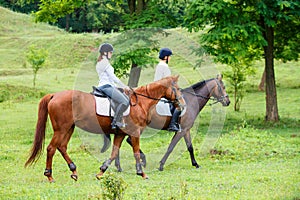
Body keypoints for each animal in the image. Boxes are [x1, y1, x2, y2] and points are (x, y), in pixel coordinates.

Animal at [25, 74, 185, 181]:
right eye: (177, 89)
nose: (182, 105)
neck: (140, 102)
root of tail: (54, 95)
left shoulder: (121, 134)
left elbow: (114, 153)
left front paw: (101, 172)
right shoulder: (135, 133)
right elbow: (136, 152)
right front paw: (142, 173)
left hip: (69, 128)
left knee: (62, 147)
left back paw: (74, 171)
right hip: (61, 129)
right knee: (51, 148)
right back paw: (49, 175)